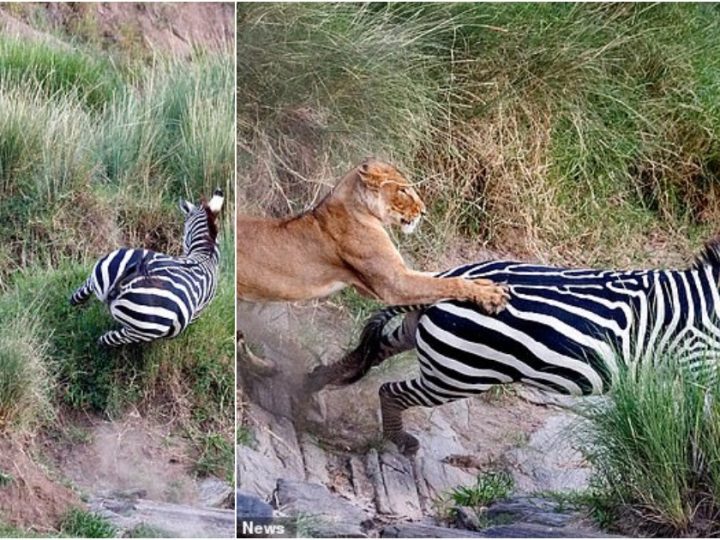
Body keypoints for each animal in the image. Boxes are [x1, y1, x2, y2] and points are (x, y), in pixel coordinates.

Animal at [70, 189, 224, 346]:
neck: (206, 253)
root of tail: (127, 279)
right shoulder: (199, 311)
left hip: (107, 264)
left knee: (84, 288)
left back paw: (74, 306)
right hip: (144, 326)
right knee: (108, 339)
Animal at [310, 238, 720, 454]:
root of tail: (447, 277)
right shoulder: (700, 363)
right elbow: (703, 422)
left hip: (424, 341)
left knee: (371, 352)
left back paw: (309, 386)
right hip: (459, 373)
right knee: (390, 389)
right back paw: (397, 441)